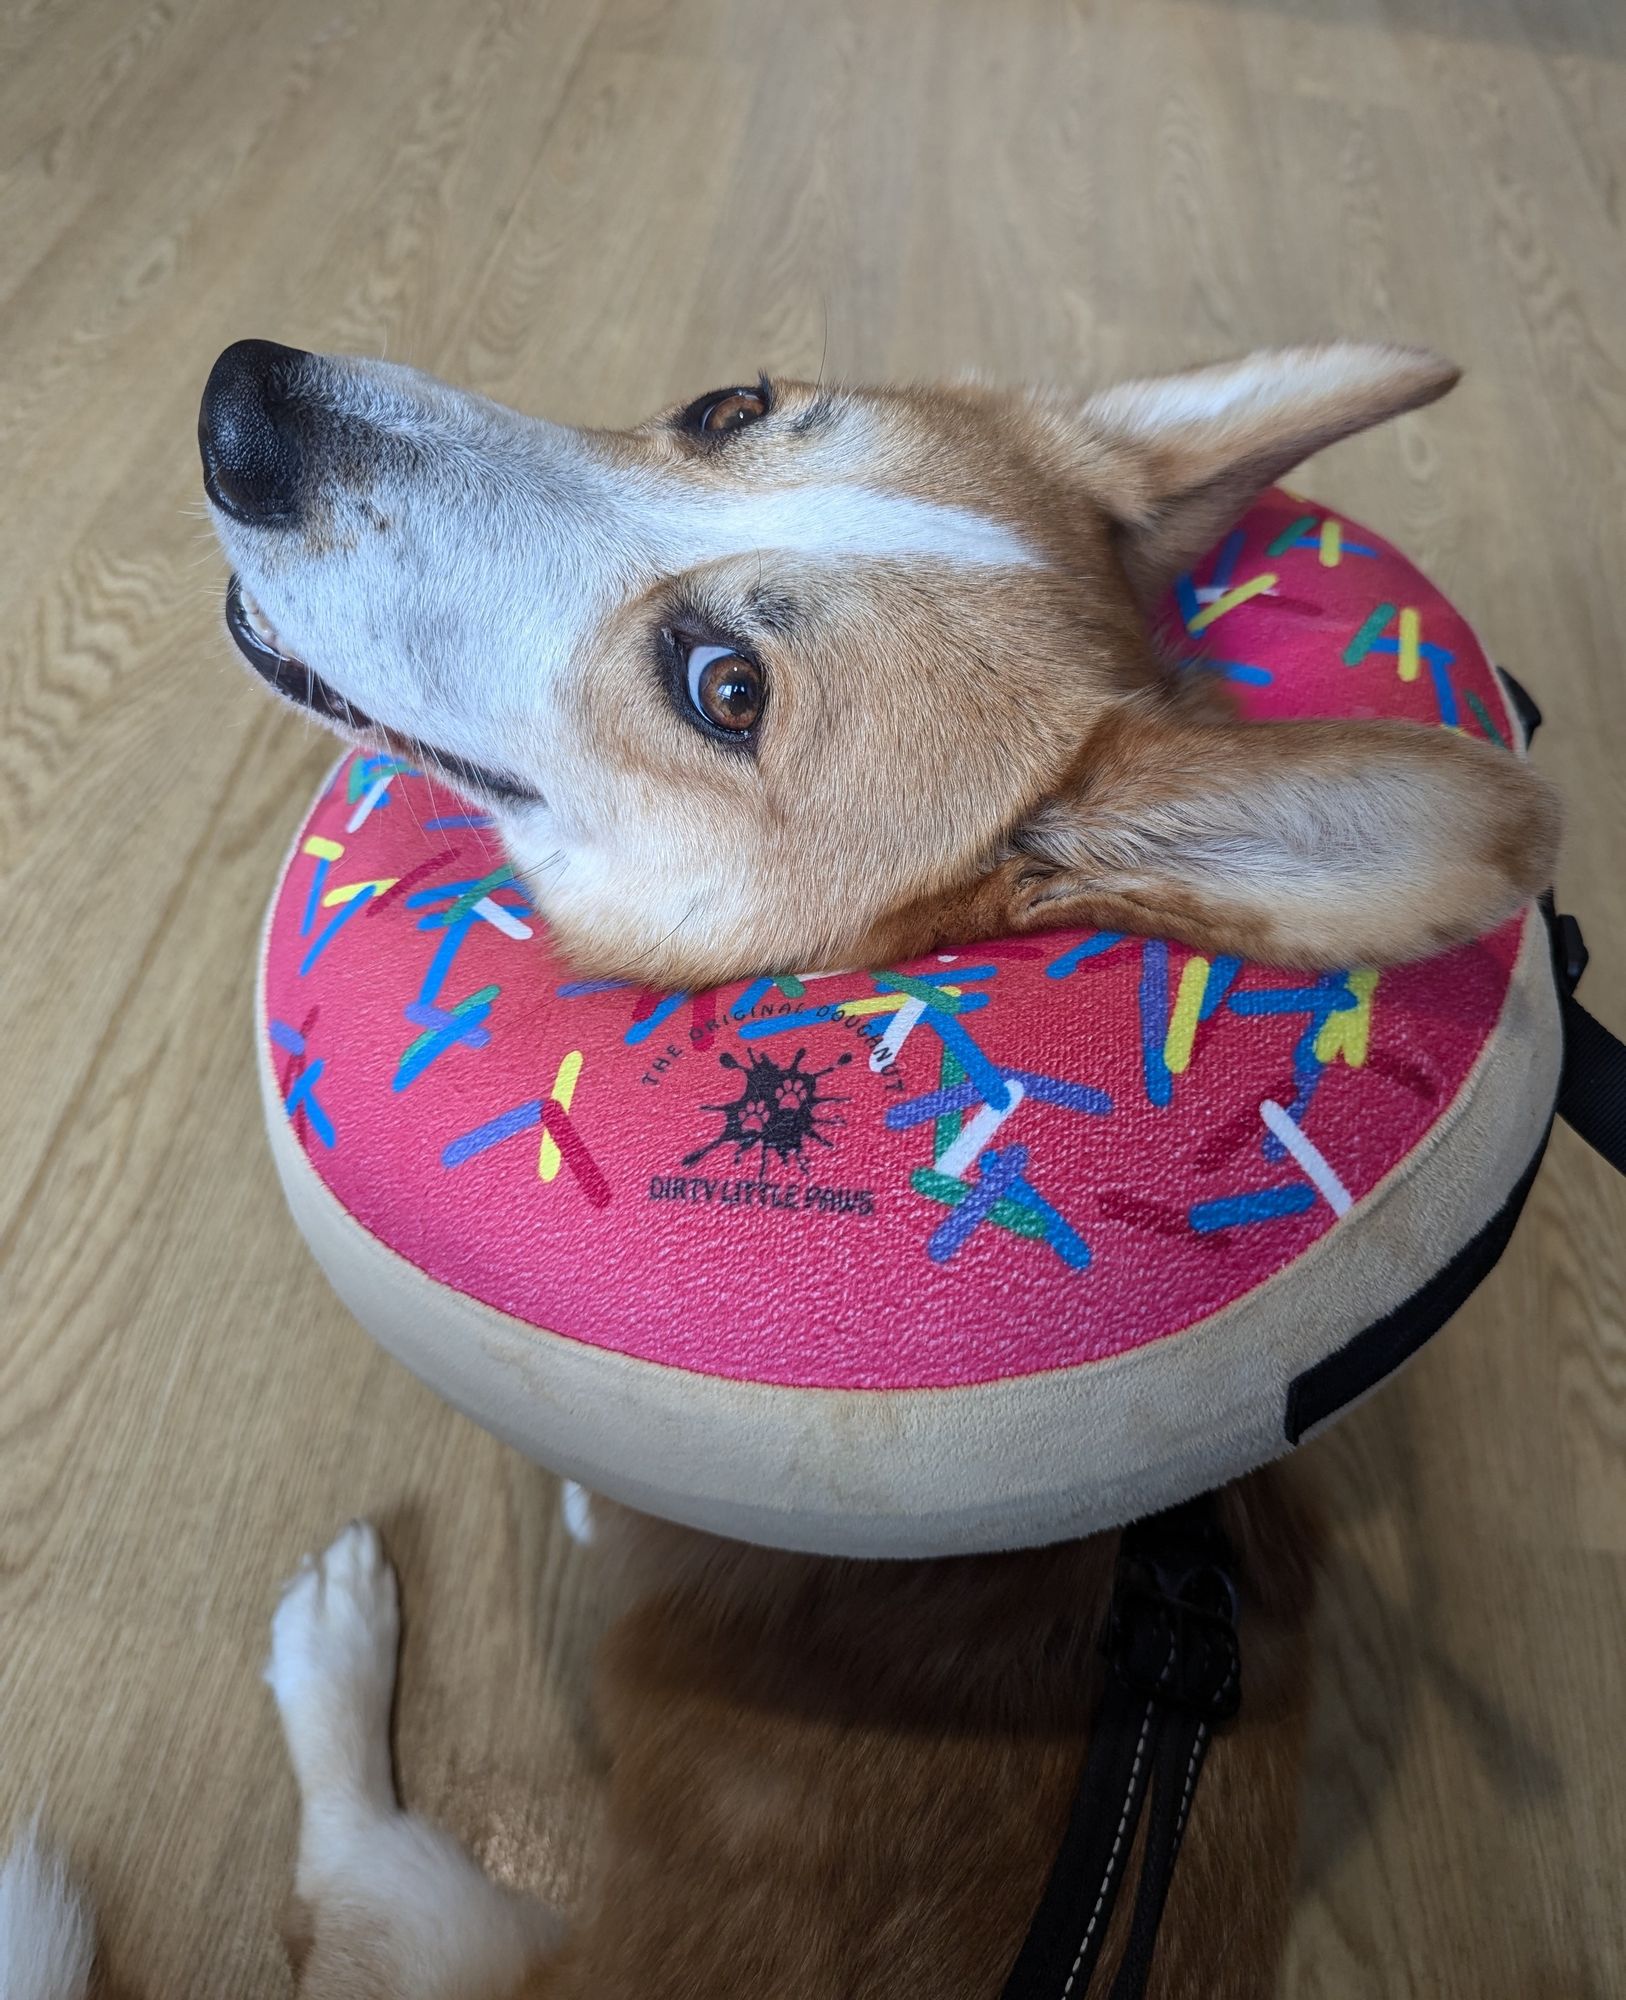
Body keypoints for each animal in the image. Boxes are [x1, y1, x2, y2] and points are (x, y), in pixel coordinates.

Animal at [3, 344, 1560, 2000]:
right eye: (726, 407)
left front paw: (570, 1518)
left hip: (453, 1928)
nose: (246, 401)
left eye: (723, 689)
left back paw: (333, 1641)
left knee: (347, 1870)